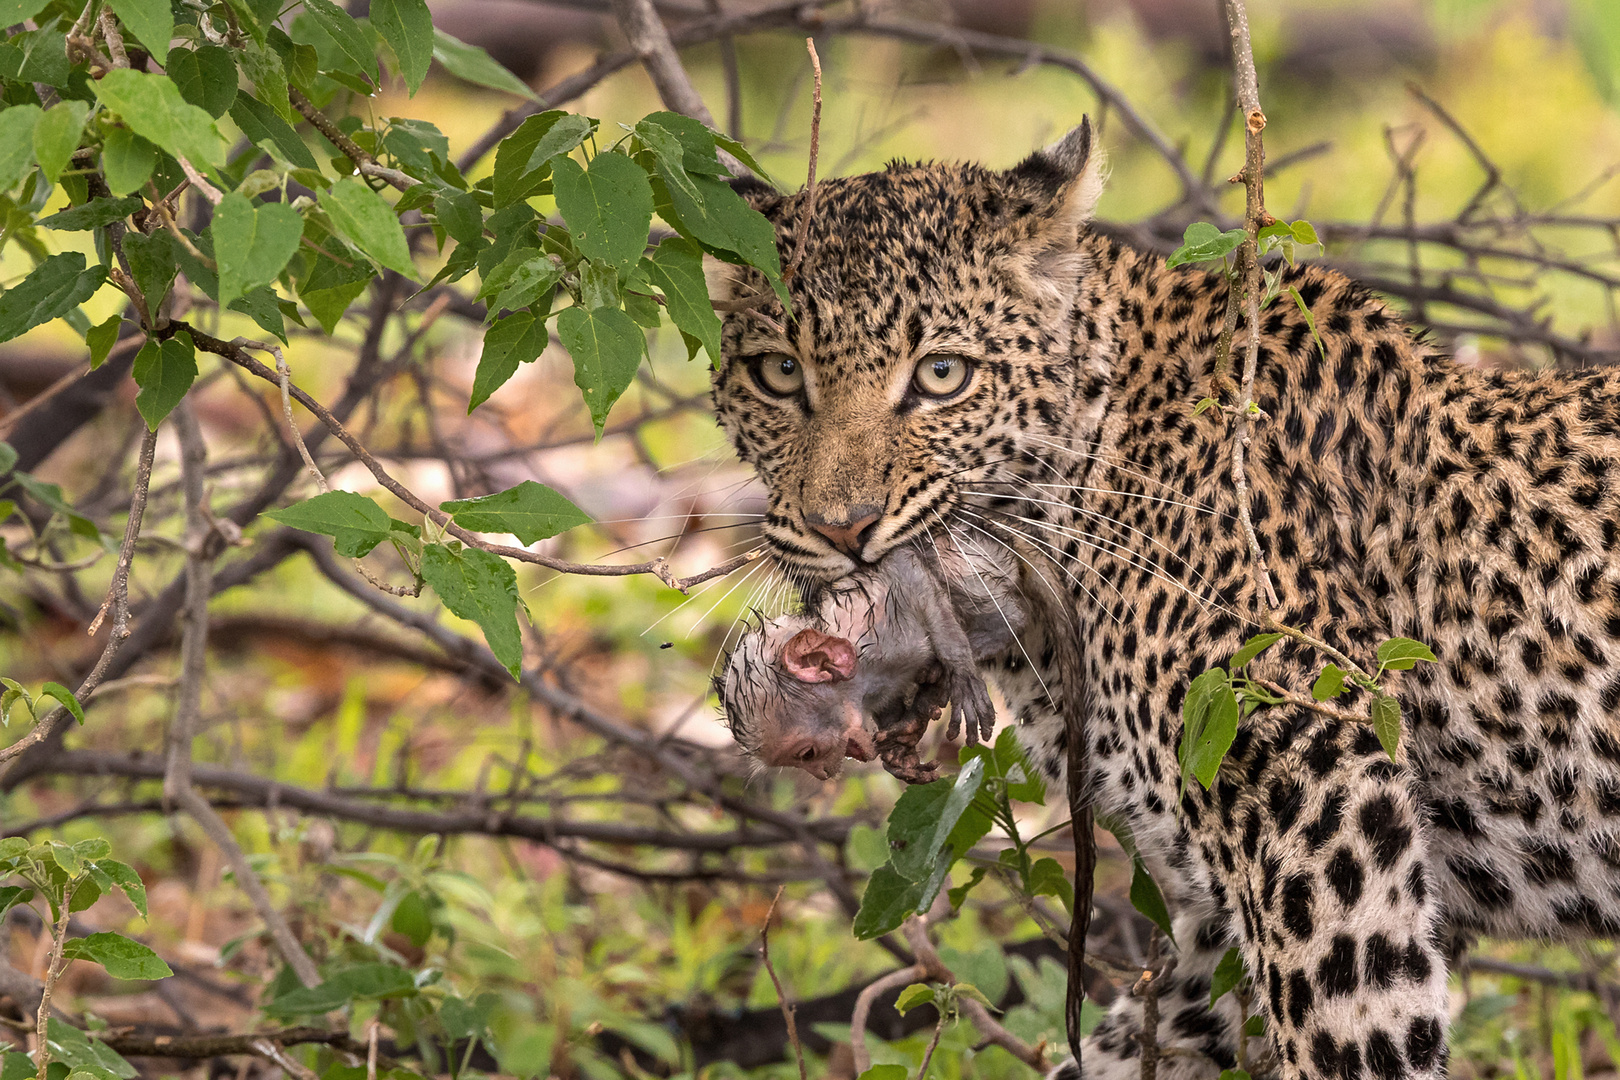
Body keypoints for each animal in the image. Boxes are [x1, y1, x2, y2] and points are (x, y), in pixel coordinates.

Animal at [722, 540, 1023, 786]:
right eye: (803, 761)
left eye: (808, 754)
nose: (821, 774)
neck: (862, 678)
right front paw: (901, 751)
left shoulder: (876, 622)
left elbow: (901, 562)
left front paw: (959, 668)